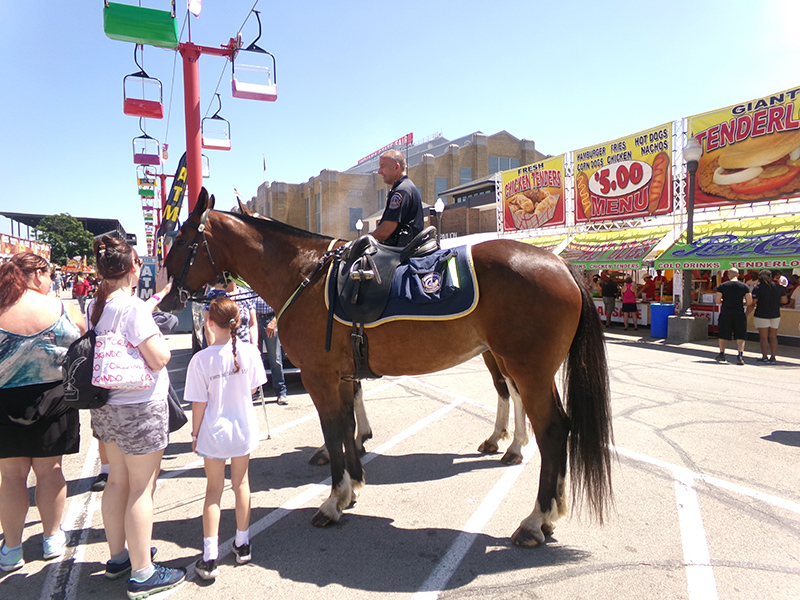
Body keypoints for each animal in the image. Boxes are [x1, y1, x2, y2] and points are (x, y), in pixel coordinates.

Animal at [162, 190, 612, 548]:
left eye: (182, 239)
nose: (166, 298)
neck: (305, 274)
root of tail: (560, 264)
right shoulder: (343, 376)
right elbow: (346, 428)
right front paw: (352, 487)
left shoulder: (319, 377)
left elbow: (334, 431)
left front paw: (333, 500)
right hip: (523, 367)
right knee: (545, 419)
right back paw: (542, 500)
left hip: (527, 369)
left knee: (550, 429)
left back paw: (535, 518)